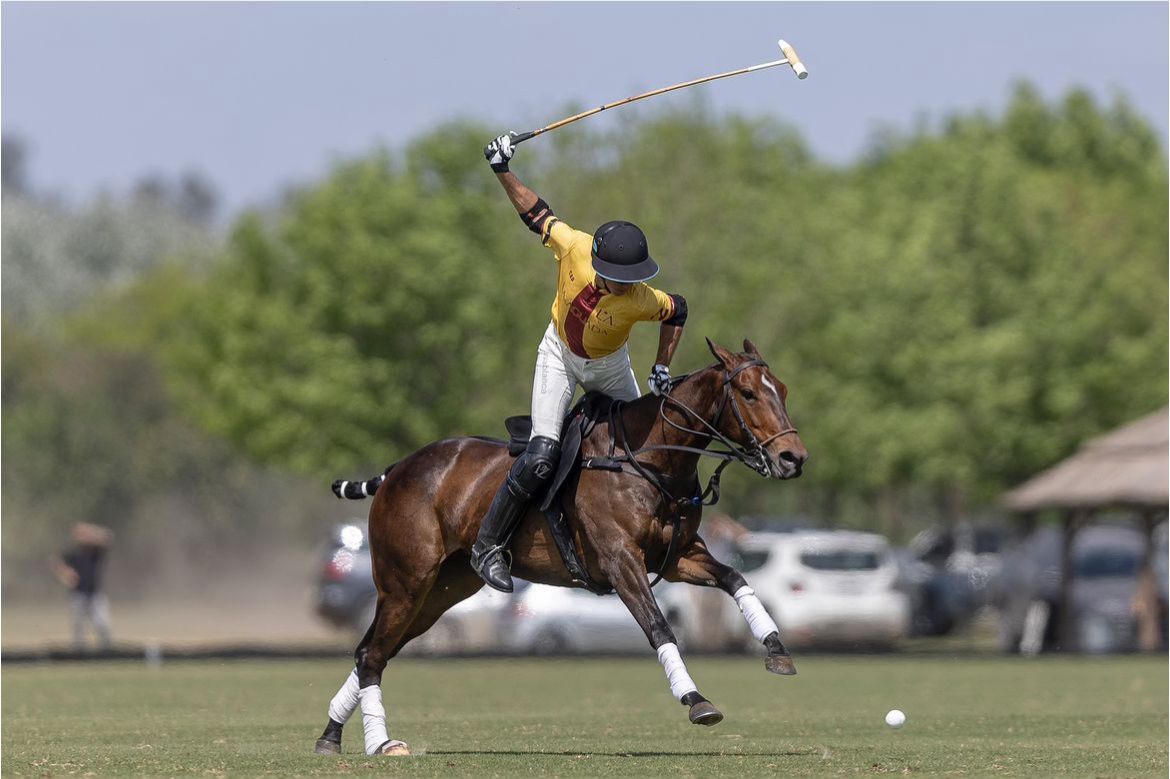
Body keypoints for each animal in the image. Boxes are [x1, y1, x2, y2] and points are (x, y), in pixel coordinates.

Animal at [318, 339, 814, 753]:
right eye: (748, 393)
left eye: (784, 390)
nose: (793, 458)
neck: (648, 459)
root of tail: (396, 469)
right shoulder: (621, 561)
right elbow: (659, 626)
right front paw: (696, 699)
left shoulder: (678, 556)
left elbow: (735, 576)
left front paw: (777, 650)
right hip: (406, 582)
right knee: (371, 653)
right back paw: (380, 743)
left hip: (441, 592)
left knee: (374, 652)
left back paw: (332, 735)